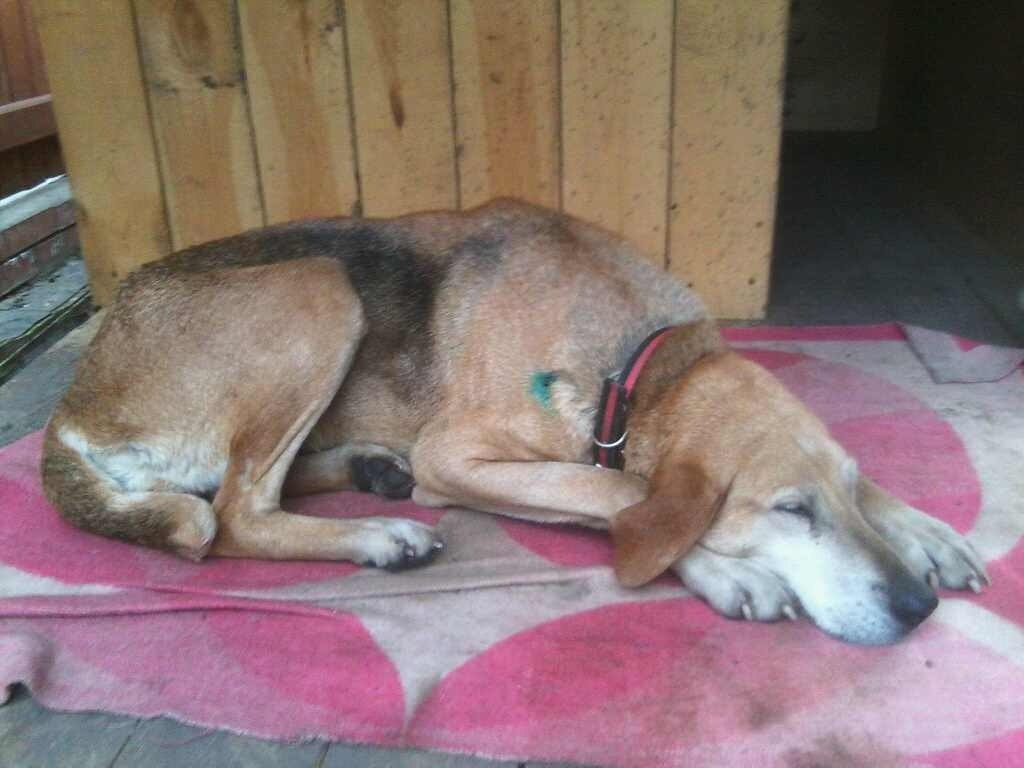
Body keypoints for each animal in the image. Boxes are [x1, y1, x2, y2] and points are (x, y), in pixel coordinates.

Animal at [41, 199, 988, 645]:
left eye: (847, 493)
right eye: (789, 511)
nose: (918, 610)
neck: (641, 366)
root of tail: (71, 405)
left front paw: (926, 532)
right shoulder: (455, 455)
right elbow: (621, 499)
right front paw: (723, 569)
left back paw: (369, 471)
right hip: (318, 288)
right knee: (235, 515)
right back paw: (377, 534)